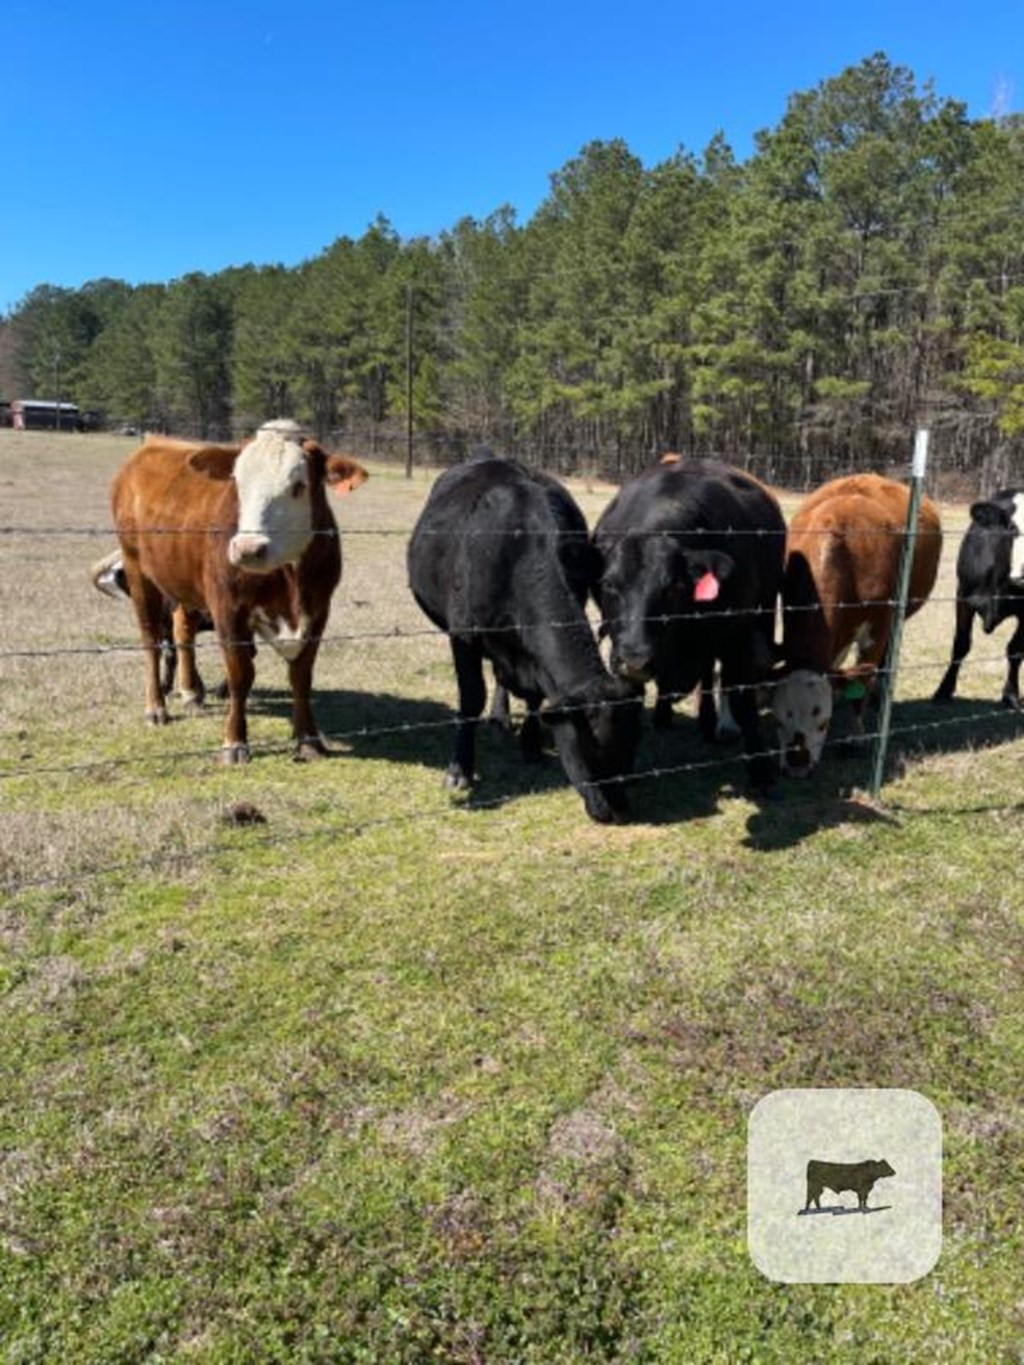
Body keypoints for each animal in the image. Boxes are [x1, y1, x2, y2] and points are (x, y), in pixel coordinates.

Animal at [114, 414, 368, 764]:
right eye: (238, 483)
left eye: (298, 486)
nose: (249, 549)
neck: (290, 577)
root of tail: (153, 443)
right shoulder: (228, 610)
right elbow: (240, 674)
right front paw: (234, 742)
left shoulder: (318, 611)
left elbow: (301, 676)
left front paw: (308, 739)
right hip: (138, 571)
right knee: (152, 639)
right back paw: (156, 707)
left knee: (182, 632)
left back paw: (191, 692)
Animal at [406, 455, 641, 819]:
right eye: (588, 749)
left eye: (630, 750)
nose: (617, 813)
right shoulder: (464, 635)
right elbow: (470, 698)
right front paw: (459, 770)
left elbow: (535, 695)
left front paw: (530, 746)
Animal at [592, 458, 786, 791]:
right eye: (609, 584)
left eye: (674, 587)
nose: (636, 660)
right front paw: (625, 769)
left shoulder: (737, 637)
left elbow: (744, 701)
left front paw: (761, 772)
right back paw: (664, 715)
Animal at [775, 472, 944, 775]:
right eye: (778, 721)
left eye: (823, 722)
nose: (797, 766)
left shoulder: (877, 628)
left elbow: (862, 681)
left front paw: (856, 737)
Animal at [933, 491, 1024, 709]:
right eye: (1013, 529)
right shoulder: (964, 598)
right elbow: (961, 645)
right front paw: (943, 690)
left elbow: (1016, 650)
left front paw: (1011, 695)